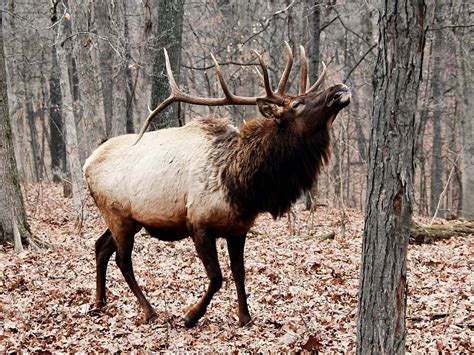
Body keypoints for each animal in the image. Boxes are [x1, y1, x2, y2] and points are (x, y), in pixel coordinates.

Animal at [84, 43, 352, 328]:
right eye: (297, 104)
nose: (339, 89)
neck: (243, 188)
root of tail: (86, 164)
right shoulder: (199, 224)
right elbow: (217, 277)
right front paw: (190, 316)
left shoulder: (239, 228)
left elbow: (239, 272)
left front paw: (245, 317)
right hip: (118, 215)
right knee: (123, 260)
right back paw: (150, 311)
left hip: (128, 220)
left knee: (100, 247)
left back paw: (99, 302)